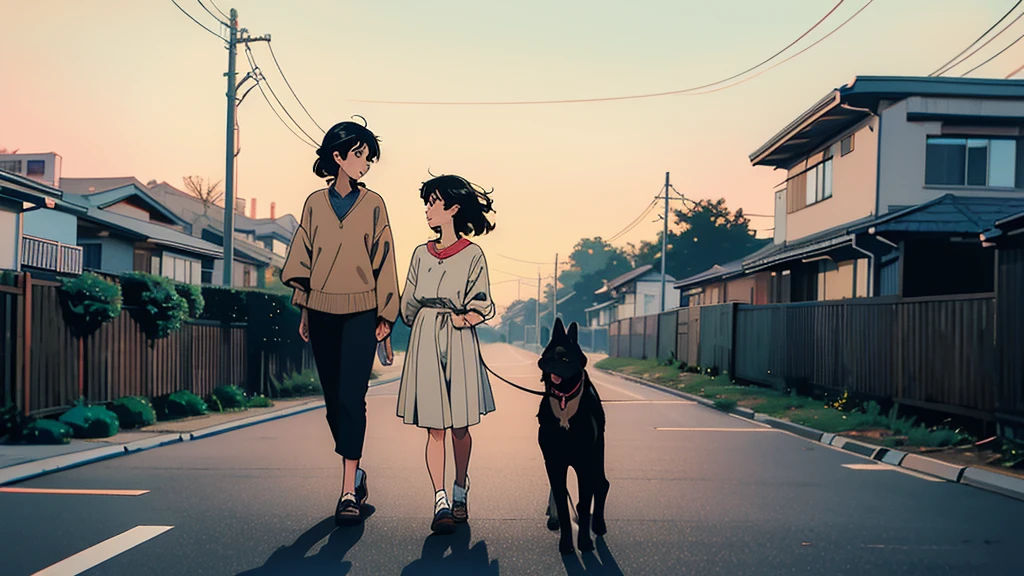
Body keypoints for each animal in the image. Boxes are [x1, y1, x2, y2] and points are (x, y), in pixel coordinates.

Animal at [536, 315, 606, 553]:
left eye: (565, 357)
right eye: (548, 353)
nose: (550, 363)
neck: (564, 399)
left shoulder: (584, 463)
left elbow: (583, 506)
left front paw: (584, 541)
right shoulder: (554, 461)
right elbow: (563, 504)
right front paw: (566, 543)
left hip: (597, 452)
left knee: (602, 484)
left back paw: (599, 525)